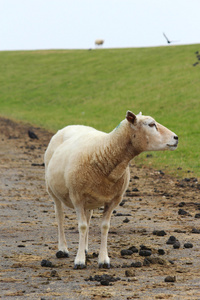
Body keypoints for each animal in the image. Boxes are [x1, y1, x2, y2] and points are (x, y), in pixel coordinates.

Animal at [44, 110, 178, 270]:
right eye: (151, 124)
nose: (176, 138)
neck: (105, 152)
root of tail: (70, 126)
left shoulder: (113, 200)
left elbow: (104, 227)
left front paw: (103, 260)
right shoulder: (77, 197)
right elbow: (82, 226)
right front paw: (80, 261)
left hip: (89, 200)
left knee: (88, 218)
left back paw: (85, 249)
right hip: (53, 191)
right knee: (60, 217)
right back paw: (63, 249)